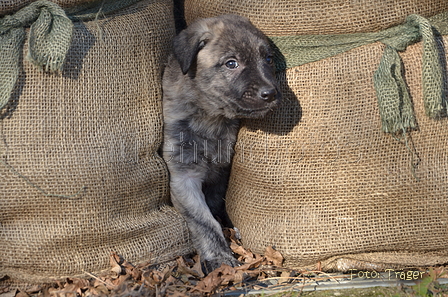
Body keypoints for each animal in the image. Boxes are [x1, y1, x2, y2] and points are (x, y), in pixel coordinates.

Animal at [162, 14, 280, 272]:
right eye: (231, 63)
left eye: (267, 59)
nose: (271, 93)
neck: (211, 118)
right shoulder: (184, 176)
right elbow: (205, 222)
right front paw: (219, 257)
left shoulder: (223, 170)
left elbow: (215, 204)